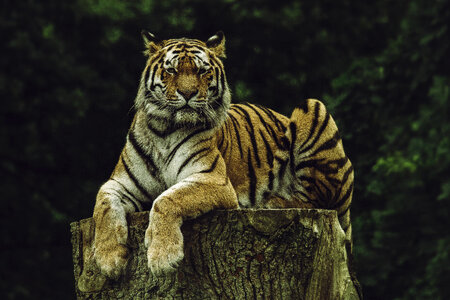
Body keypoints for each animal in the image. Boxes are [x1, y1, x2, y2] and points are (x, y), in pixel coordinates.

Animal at [93, 31, 356, 282]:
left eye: (202, 70)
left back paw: (272, 201)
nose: (187, 93)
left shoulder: (213, 179)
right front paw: (108, 260)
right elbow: (103, 207)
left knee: (317, 198)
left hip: (313, 107)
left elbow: (166, 200)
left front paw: (163, 257)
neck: (164, 130)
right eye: (171, 70)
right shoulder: (119, 183)